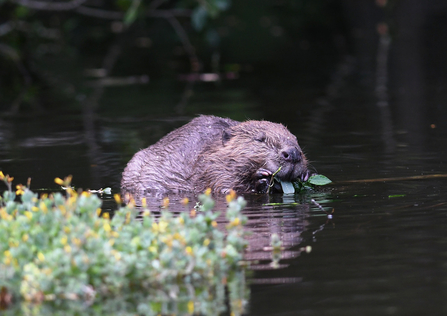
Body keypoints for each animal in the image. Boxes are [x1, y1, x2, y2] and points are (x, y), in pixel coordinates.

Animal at [122, 115, 312, 195]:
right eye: (260, 139)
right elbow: (225, 188)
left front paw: (305, 175)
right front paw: (262, 178)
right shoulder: (211, 169)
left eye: (295, 138)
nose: (292, 153)